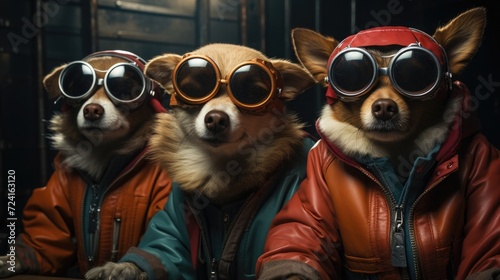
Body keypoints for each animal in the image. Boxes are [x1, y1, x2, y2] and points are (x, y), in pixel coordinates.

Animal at [0, 50, 172, 278]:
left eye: (125, 88)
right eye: (78, 85)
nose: (92, 110)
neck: (104, 154)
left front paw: (124, 267)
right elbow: (47, 236)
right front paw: (12, 259)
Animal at [84, 42, 314, 278]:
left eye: (253, 93)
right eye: (193, 88)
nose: (216, 119)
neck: (222, 169)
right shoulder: (175, 223)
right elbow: (163, 250)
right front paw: (120, 268)